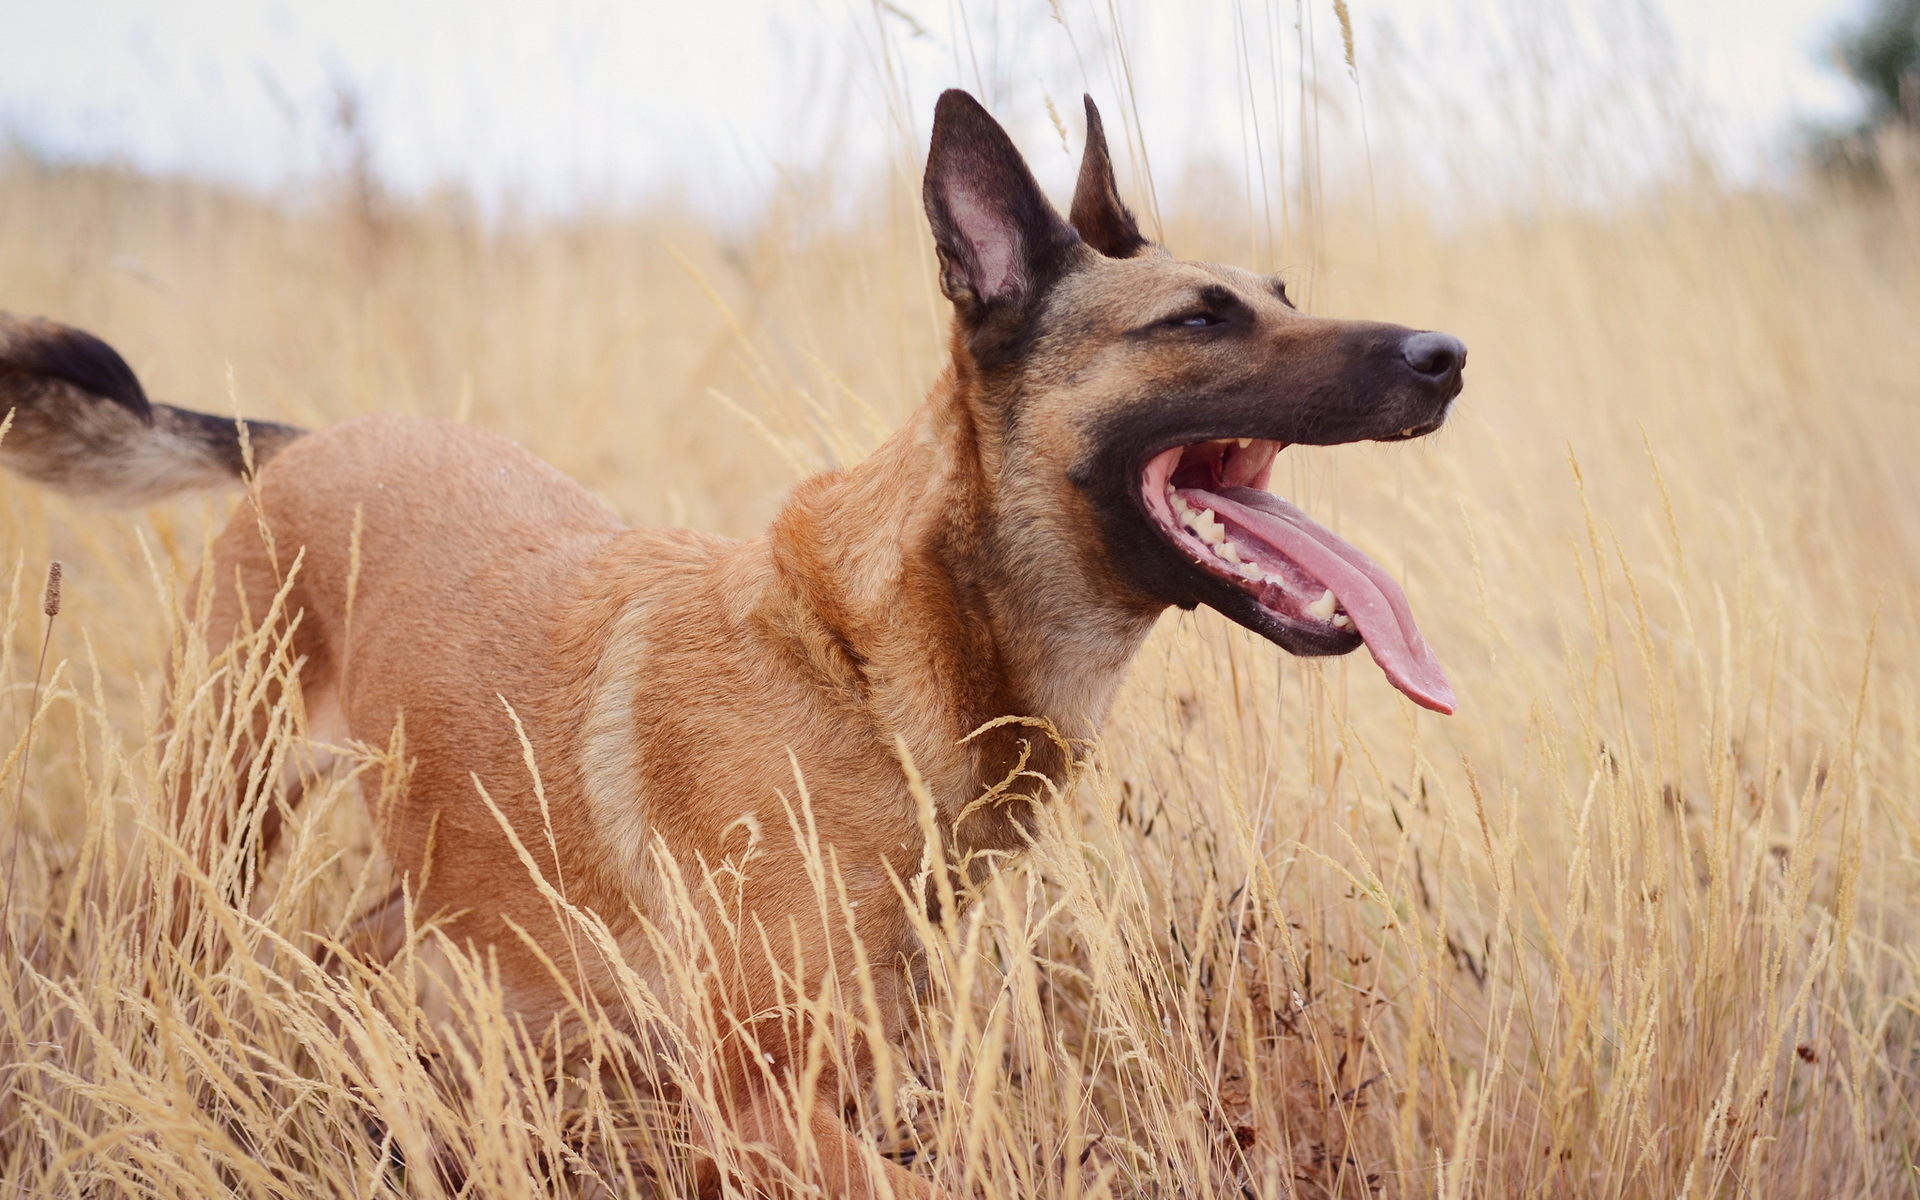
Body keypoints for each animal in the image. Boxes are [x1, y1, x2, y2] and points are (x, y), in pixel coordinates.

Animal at [0, 91, 1459, 1190]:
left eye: (1279, 290)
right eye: (1199, 320)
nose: (1446, 356)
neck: (872, 663)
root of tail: (308, 441)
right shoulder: (761, 1099)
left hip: (440, 879)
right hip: (212, 837)